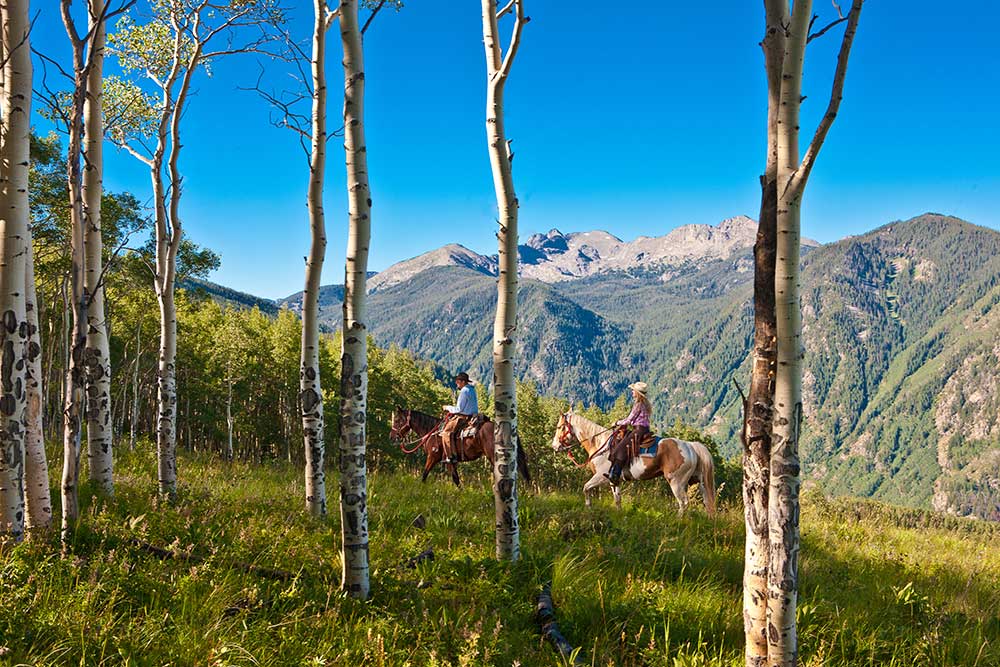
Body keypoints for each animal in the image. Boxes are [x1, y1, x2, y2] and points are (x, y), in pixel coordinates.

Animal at [390, 407, 531, 487]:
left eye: (397, 420)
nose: (391, 436)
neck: (432, 432)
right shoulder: (449, 461)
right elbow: (455, 478)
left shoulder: (433, 456)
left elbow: (424, 474)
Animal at [551, 411, 716, 514]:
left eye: (560, 427)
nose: (554, 446)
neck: (601, 444)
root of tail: (690, 446)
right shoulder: (614, 480)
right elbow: (617, 499)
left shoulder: (601, 477)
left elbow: (586, 488)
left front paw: (588, 508)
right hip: (699, 481)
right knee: (707, 503)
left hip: (676, 482)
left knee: (683, 503)